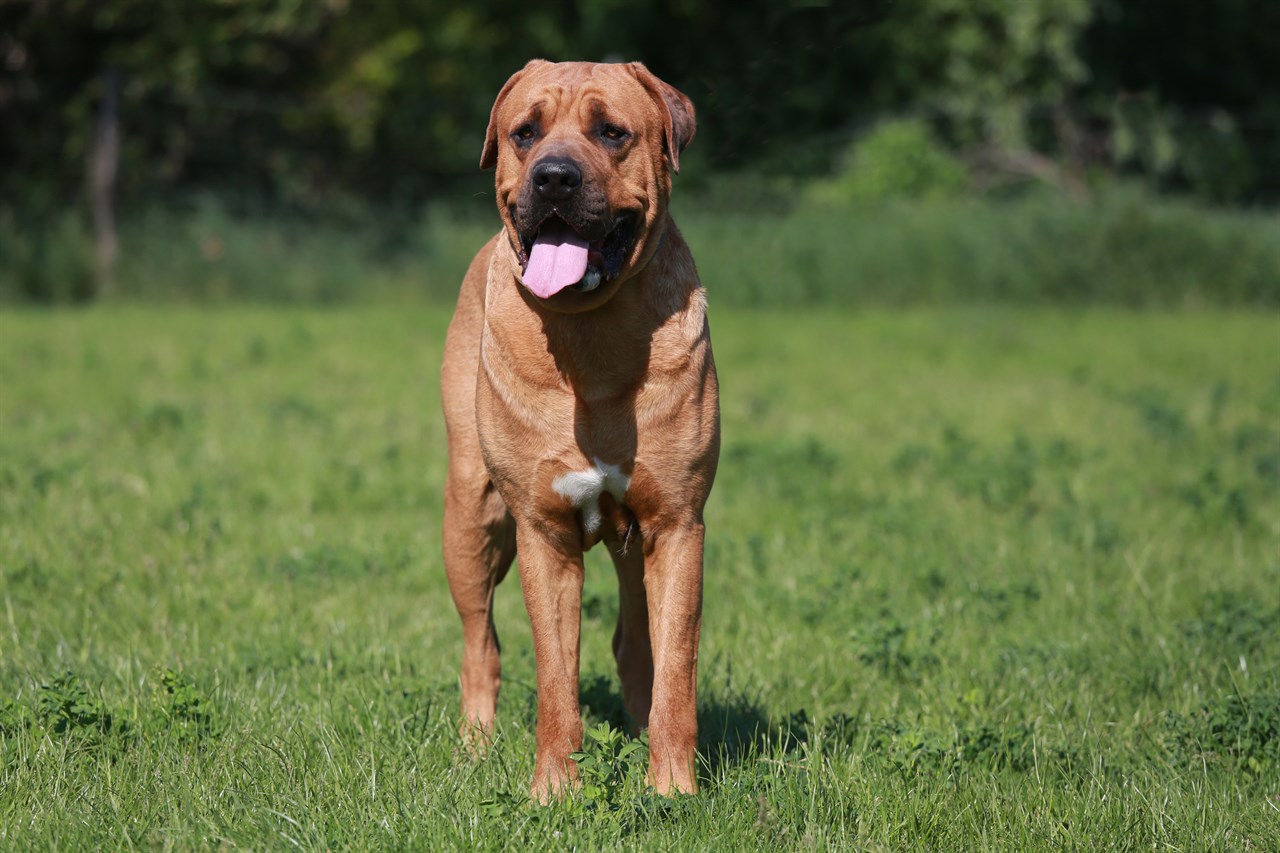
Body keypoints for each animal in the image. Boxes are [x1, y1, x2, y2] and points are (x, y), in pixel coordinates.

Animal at [440, 61, 721, 799]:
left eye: (612, 133)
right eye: (525, 132)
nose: (554, 178)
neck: (591, 332)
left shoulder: (677, 524)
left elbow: (675, 668)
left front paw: (672, 787)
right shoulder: (543, 531)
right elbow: (554, 678)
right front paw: (553, 791)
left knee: (636, 642)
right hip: (470, 514)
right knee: (481, 642)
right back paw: (474, 745)